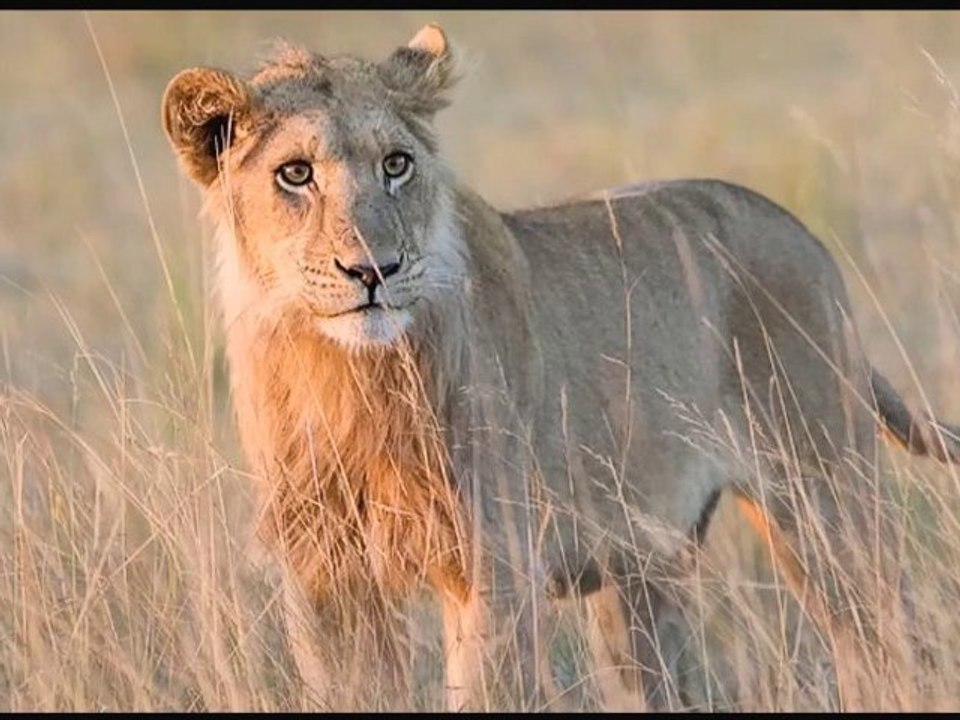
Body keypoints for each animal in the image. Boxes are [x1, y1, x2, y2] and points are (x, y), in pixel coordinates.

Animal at [161, 23, 960, 711]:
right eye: (295, 174)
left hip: (827, 505)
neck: (345, 378)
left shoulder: (497, 566)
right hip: (643, 571)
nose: (374, 270)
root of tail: (806, 238)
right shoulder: (325, 582)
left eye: (396, 165)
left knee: (894, 643)